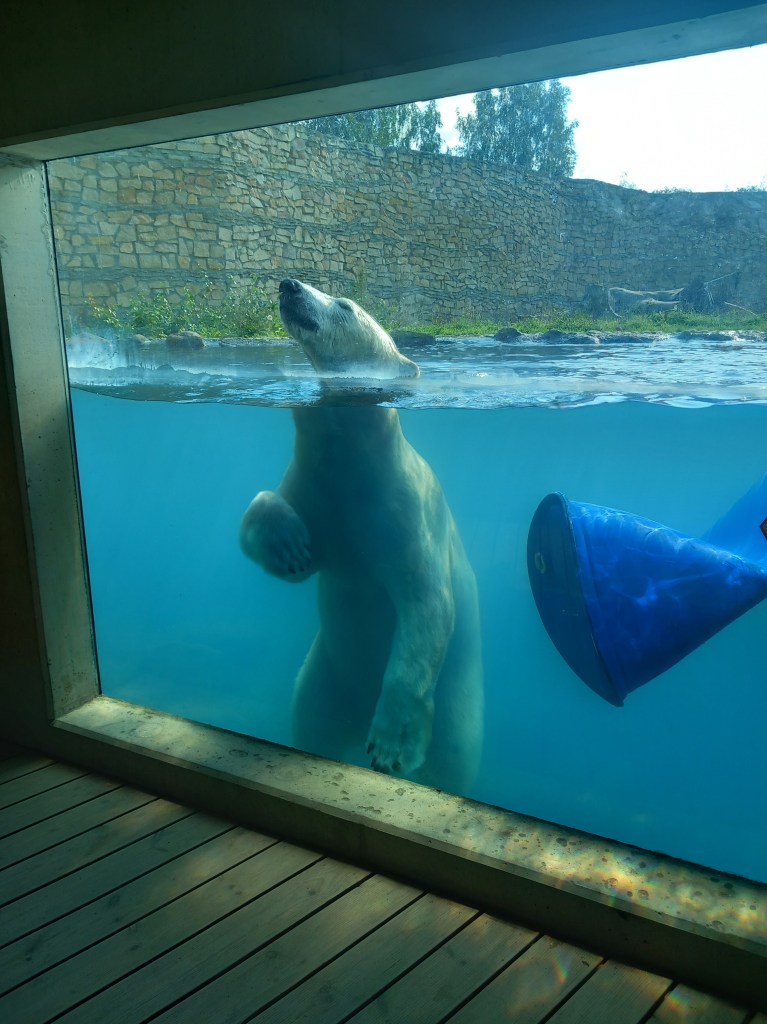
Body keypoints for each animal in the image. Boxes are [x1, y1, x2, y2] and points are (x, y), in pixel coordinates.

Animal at [240, 278, 483, 792]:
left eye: (345, 305)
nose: (288, 284)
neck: (352, 459)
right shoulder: (319, 488)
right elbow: (272, 514)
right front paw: (288, 547)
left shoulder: (402, 512)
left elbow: (427, 608)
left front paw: (394, 745)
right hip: (325, 677)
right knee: (312, 719)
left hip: (460, 701)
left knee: (455, 755)